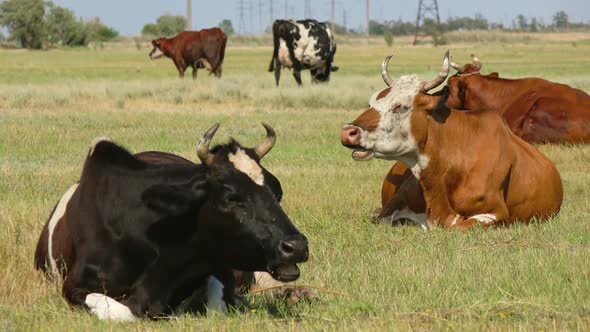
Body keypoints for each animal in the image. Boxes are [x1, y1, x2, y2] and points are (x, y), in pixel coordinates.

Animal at [33, 123, 310, 320]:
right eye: (231, 197)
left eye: (277, 193)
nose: (296, 246)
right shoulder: (74, 286)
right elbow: (124, 312)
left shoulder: (220, 268)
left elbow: (218, 305)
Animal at [342, 50, 564, 230]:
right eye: (371, 103)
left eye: (400, 106)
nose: (347, 132)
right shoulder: (389, 208)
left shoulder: (496, 213)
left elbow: (457, 226)